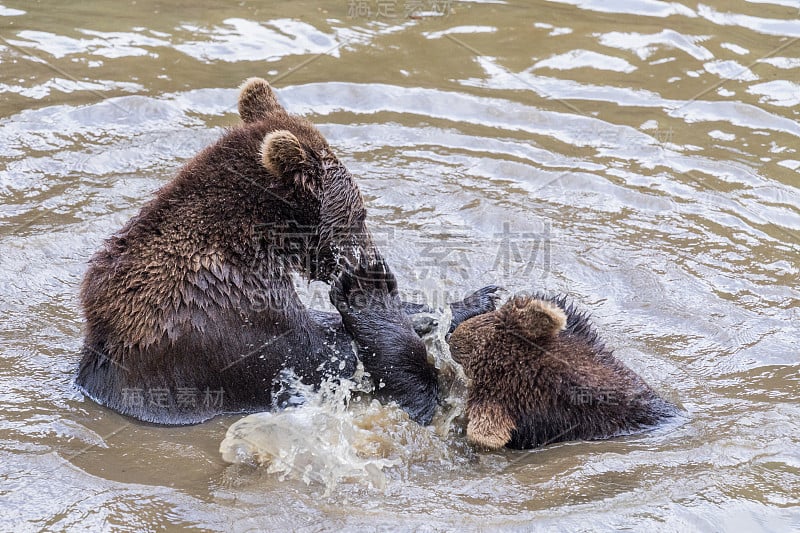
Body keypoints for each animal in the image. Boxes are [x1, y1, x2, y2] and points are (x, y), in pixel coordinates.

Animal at [73, 78, 494, 424]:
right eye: (360, 214)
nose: (367, 257)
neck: (258, 243)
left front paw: (473, 300)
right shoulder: (230, 319)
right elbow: (326, 359)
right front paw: (370, 288)